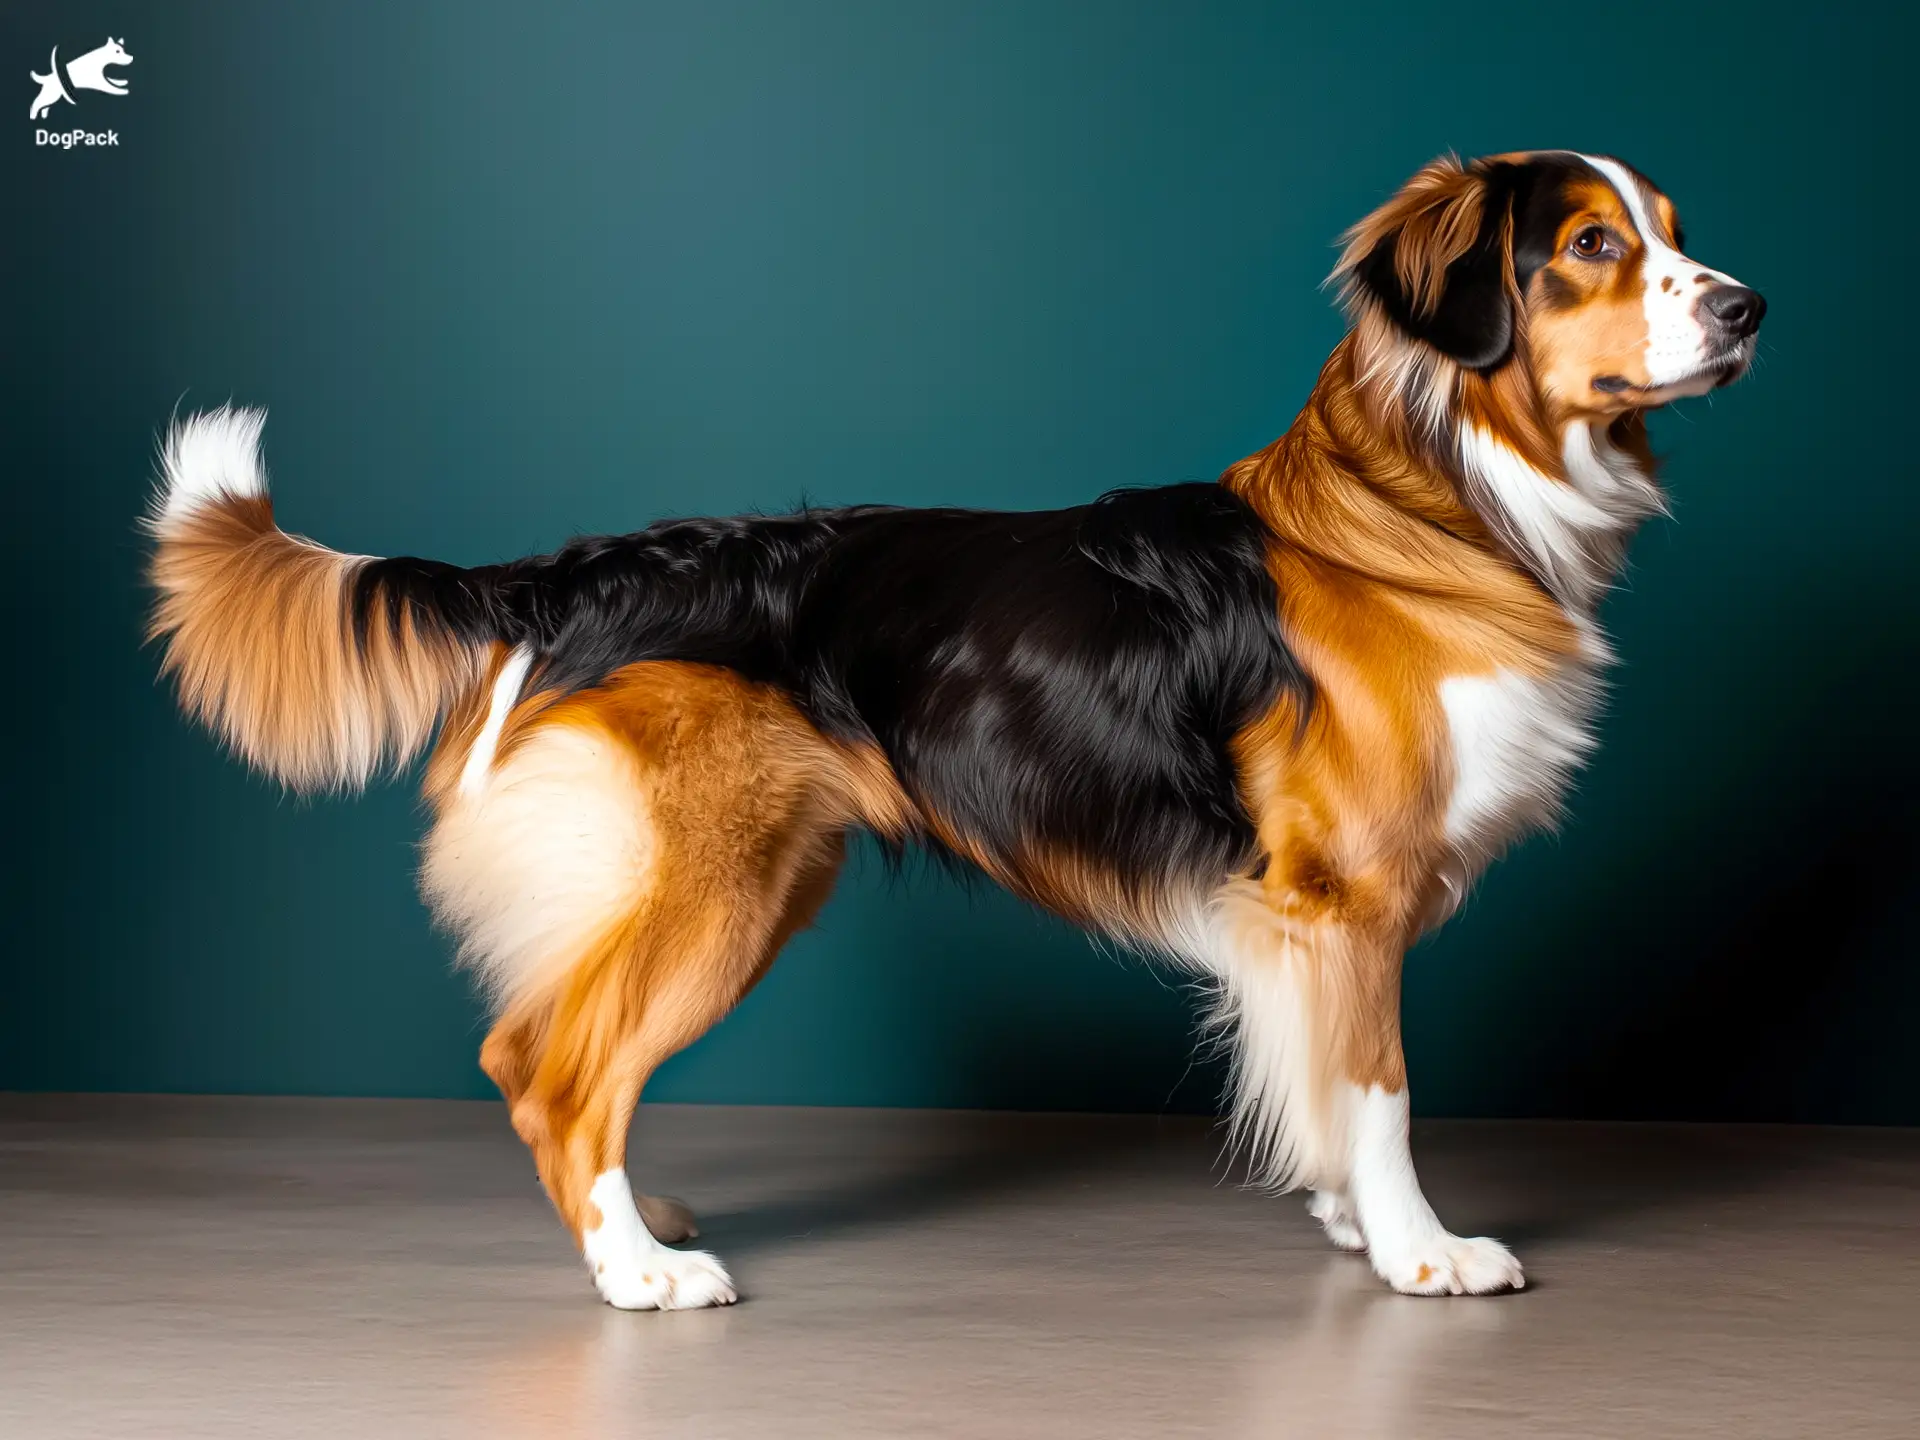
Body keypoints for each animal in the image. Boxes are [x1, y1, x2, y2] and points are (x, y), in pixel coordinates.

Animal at [145, 152, 1766, 1313]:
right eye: (1591, 246)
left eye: (1672, 229)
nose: (1748, 308)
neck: (1429, 499)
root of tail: (581, 571)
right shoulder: (1346, 896)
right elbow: (1381, 1091)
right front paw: (1424, 1251)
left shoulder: (1311, 926)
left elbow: (1321, 1083)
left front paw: (1353, 1226)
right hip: (714, 881)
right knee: (555, 1070)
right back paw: (638, 1271)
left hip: (744, 874)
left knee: (536, 1045)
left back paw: (634, 1215)